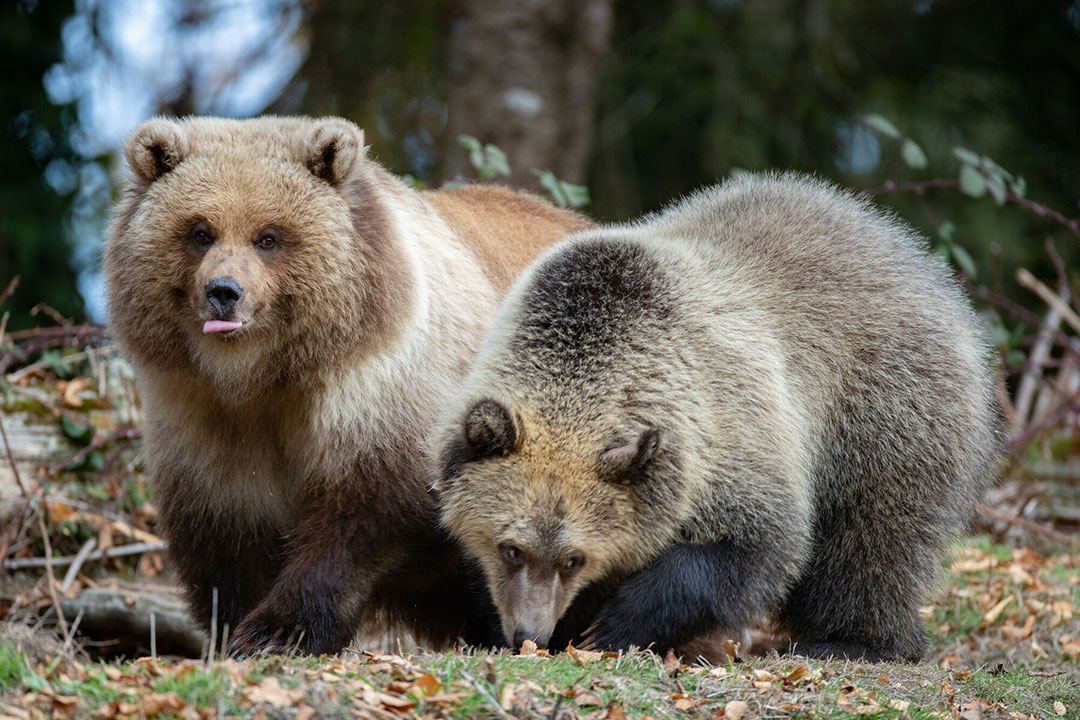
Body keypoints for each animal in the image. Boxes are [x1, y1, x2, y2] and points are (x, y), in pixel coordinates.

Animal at [106, 113, 596, 651]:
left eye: (268, 236)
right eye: (200, 231)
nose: (224, 292)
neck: (263, 375)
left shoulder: (382, 396)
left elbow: (363, 517)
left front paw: (281, 630)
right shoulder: (200, 413)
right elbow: (226, 536)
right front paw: (234, 628)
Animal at [432, 171, 1002, 660]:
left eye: (573, 558)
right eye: (510, 548)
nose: (529, 631)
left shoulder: (727, 425)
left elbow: (750, 546)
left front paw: (612, 626)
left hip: (887, 407)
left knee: (873, 537)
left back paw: (855, 640)